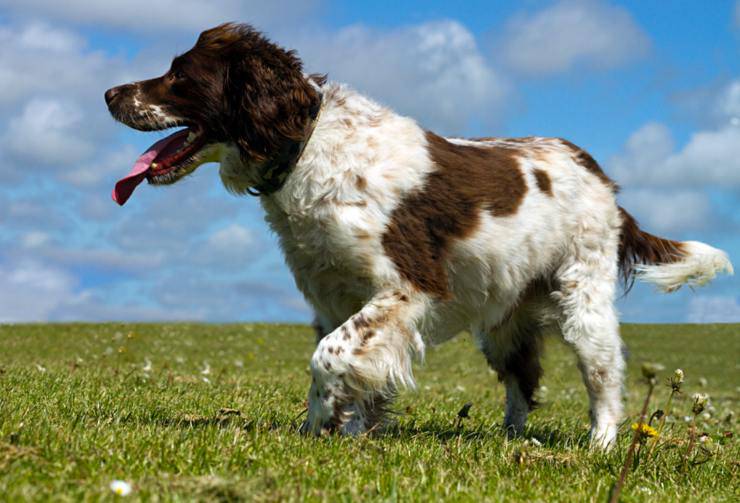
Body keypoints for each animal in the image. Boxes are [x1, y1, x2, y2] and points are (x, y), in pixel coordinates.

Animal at [105, 23, 736, 448]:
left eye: (179, 75)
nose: (109, 94)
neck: (307, 146)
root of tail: (605, 180)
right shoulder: (337, 295)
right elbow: (352, 370)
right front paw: (346, 433)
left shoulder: (405, 289)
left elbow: (328, 357)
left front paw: (320, 429)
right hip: (505, 319)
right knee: (522, 380)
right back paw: (511, 439)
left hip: (584, 302)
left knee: (605, 379)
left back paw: (599, 445)